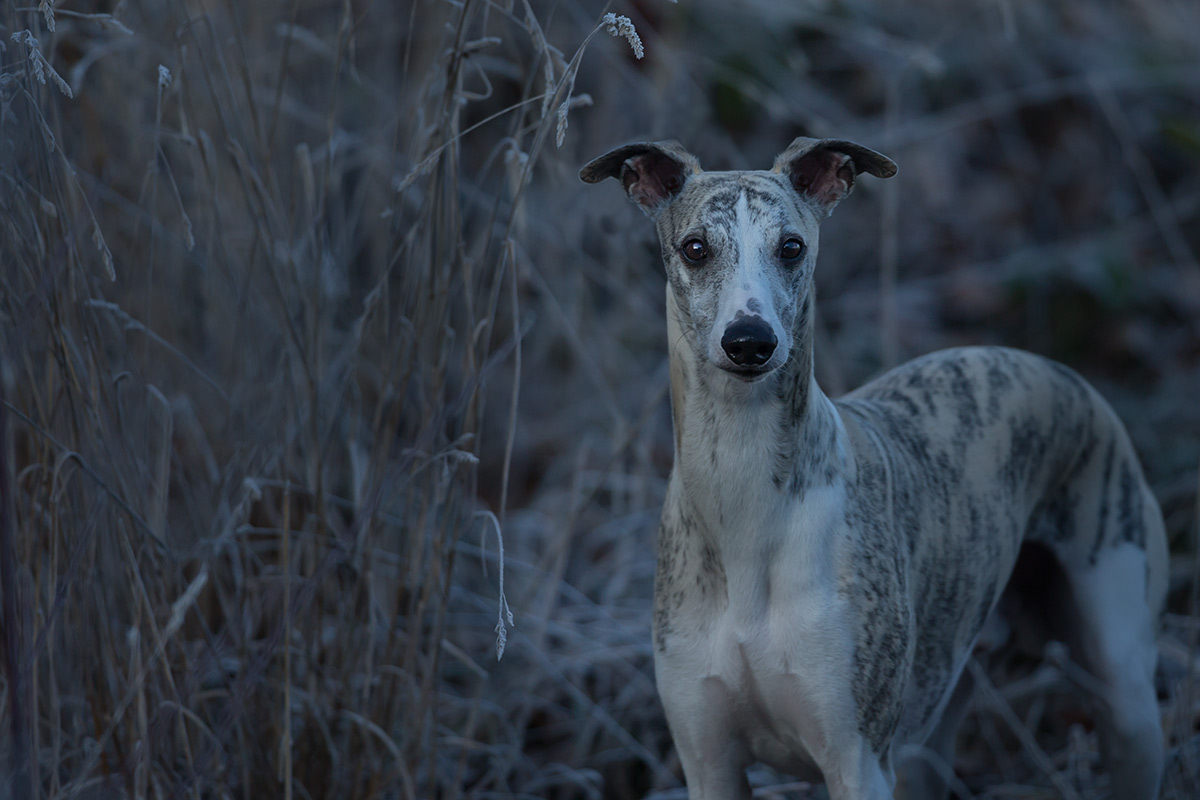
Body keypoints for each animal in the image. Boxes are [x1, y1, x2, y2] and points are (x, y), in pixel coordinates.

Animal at [578, 140, 1161, 796]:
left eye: (792, 246)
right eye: (695, 247)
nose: (750, 341)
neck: (746, 506)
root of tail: (1058, 371)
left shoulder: (857, 760)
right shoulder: (707, 760)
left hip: (1126, 693)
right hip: (931, 731)